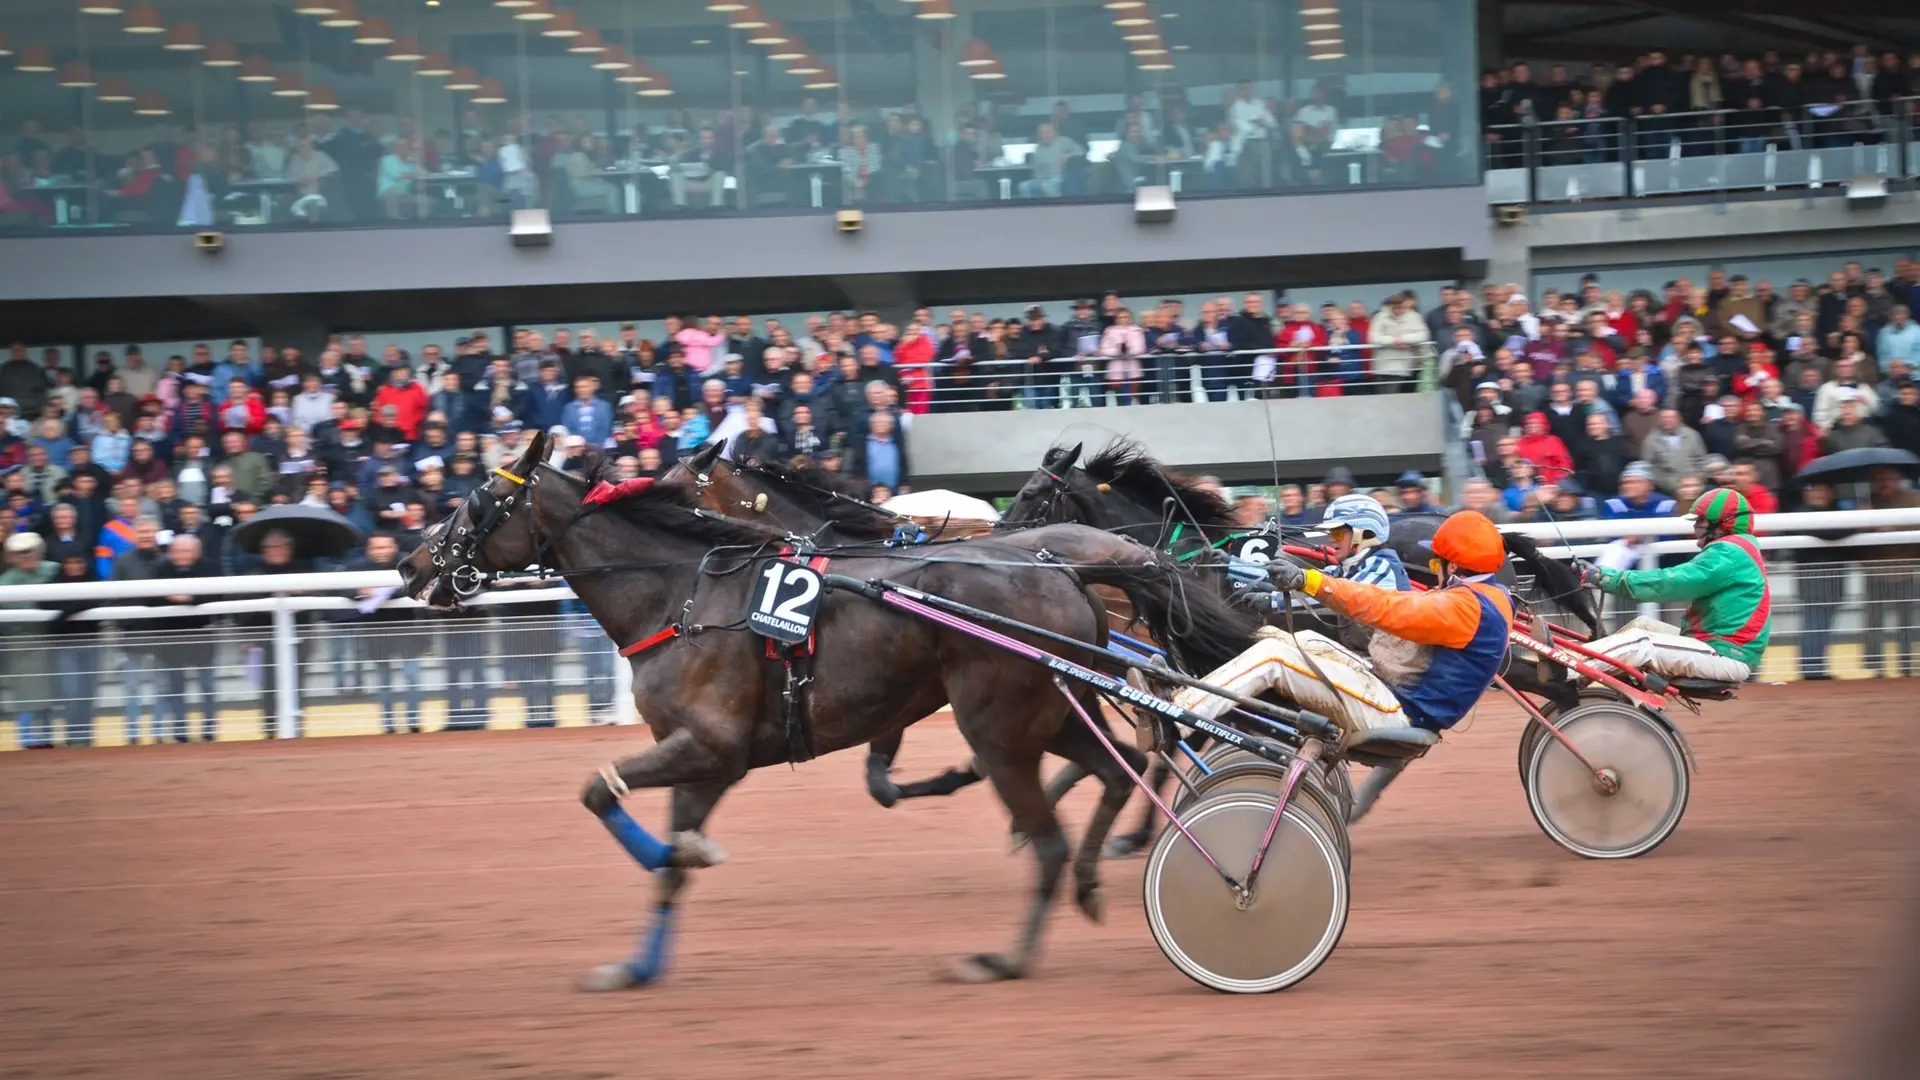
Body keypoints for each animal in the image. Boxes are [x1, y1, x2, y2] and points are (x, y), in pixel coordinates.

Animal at [397, 426, 1259, 983]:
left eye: (479, 499)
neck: (685, 594)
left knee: (1098, 786)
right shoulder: (708, 758)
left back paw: (1013, 946)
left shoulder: (709, 745)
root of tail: (1073, 569)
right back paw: (1090, 867)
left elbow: (599, 792)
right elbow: (671, 852)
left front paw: (682, 856)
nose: (411, 565)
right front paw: (639, 959)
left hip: (1005, 721)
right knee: (1118, 769)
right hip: (1053, 705)